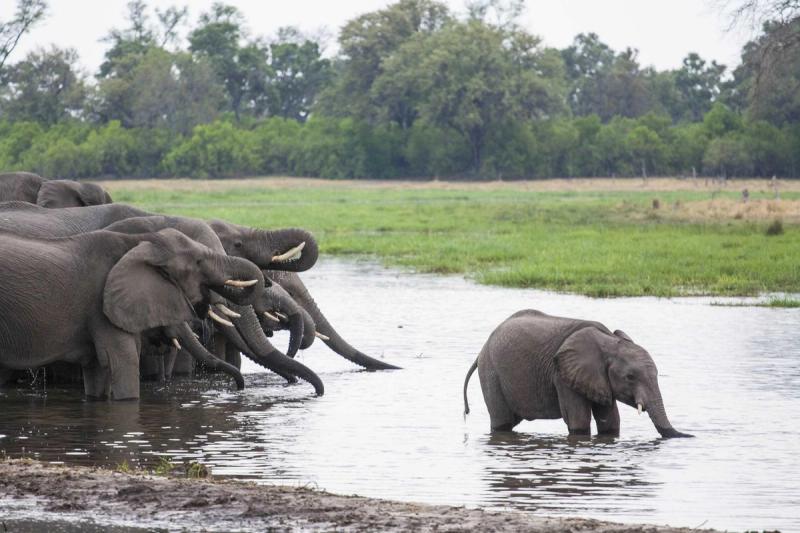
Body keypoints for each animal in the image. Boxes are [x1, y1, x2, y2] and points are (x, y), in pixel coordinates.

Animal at [0, 228, 264, 400]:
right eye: (199, 262)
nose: (237, 388)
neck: (141, 242)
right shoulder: (103, 307)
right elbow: (124, 361)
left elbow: (97, 373)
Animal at [463, 310, 692, 439]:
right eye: (630, 377)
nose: (690, 435)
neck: (608, 342)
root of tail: (482, 350)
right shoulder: (562, 375)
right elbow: (578, 420)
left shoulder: (598, 379)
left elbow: (610, 420)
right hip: (491, 373)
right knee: (501, 422)